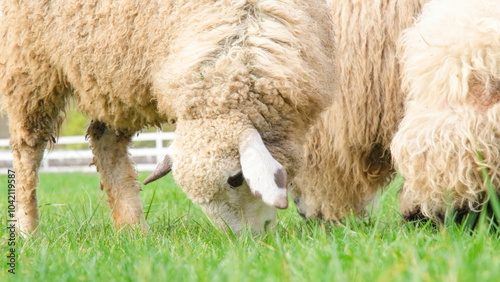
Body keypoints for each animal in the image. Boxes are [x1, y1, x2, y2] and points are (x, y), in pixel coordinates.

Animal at [0, 0, 336, 235]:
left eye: (236, 178)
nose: (246, 240)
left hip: (113, 66)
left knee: (104, 140)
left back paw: (133, 230)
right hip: (31, 64)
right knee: (29, 148)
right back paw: (28, 231)